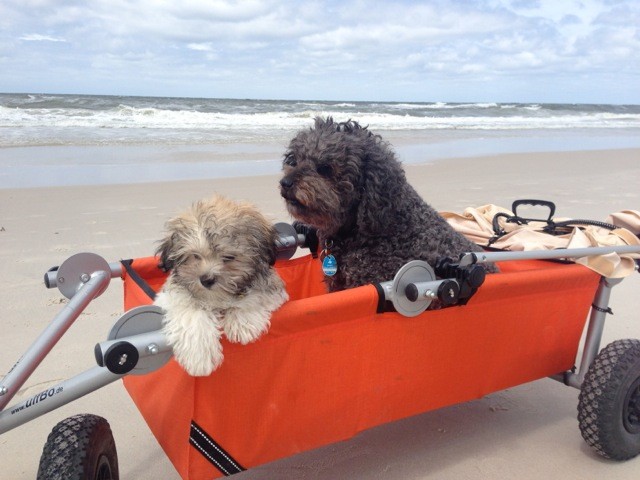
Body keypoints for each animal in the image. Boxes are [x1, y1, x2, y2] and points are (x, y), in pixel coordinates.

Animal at [154, 194, 288, 376]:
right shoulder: (172, 298)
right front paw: (199, 359)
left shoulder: (271, 287)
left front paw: (241, 323)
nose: (206, 279)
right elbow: (192, 313)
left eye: (229, 257)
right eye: (195, 255)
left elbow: (255, 296)